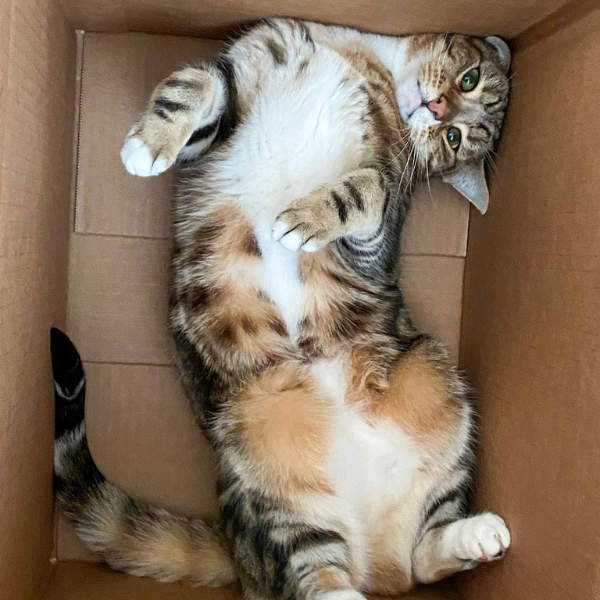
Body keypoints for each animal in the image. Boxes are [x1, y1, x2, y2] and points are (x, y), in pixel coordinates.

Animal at [52, 18, 510, 600]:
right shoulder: (234, 85)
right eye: (468, 80)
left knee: (408, 560)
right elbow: (195, 84)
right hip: (271, 475)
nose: (436, 108)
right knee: (348, 569)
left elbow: (371, 188)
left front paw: (309, 215)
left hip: (432, 376)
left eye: (455, 139)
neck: (364, 64)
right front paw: (149, 143)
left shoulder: (375, 241)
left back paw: (470, 534)